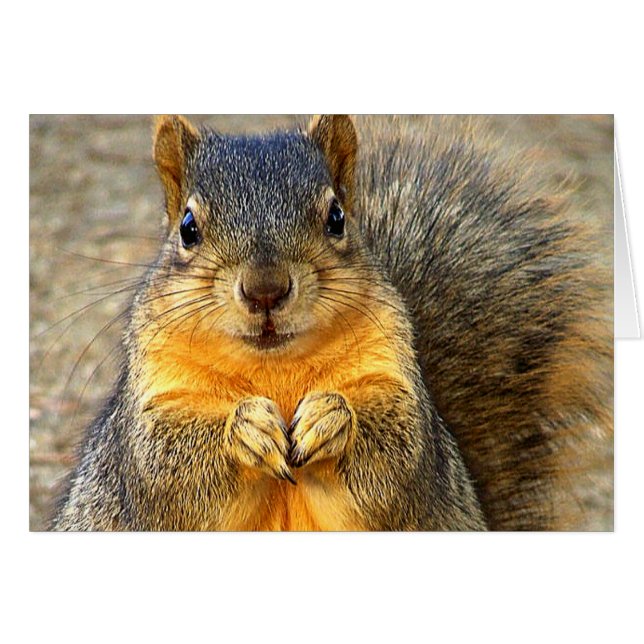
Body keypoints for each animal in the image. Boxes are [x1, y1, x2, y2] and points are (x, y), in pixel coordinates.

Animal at [51, 114, 612, 531]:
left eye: (337, 217)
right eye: (188, 228)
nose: (266, 289)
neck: (273, 366)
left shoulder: (397, 384)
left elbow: (399, 457)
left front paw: (332, 418)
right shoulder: (152, 406)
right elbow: (164, 466)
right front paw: (246, 428)